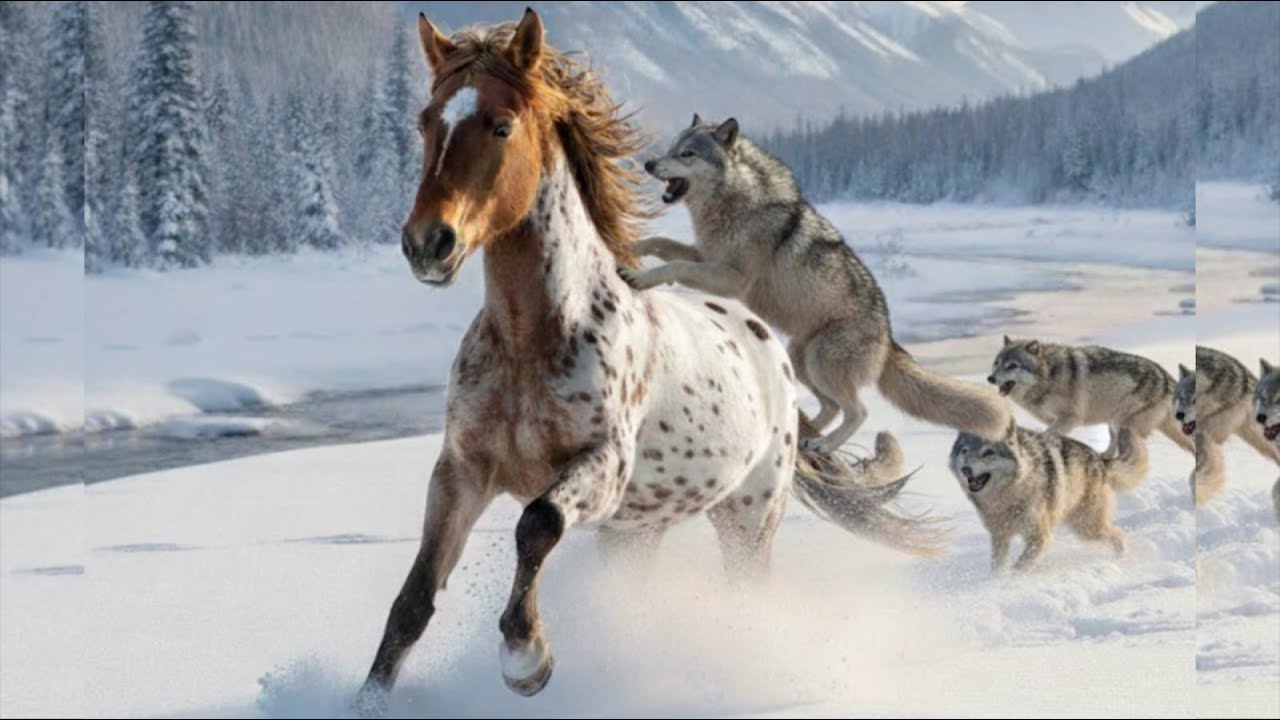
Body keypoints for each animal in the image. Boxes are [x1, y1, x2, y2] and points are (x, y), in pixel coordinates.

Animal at [358, 8, 944, 705]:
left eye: (501, 124)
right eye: (426, 121)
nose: (428, 243)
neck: (533, 341)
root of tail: (766, 345)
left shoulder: (603, 467)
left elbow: (536, 523)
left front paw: (527, 660)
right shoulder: (461, 472)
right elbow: (411, 603)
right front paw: (367, 701)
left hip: (747, 519)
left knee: (748, 592)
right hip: (638, 531)